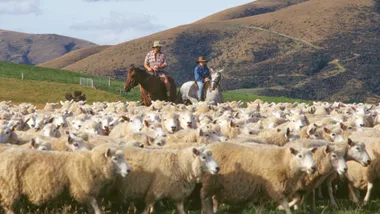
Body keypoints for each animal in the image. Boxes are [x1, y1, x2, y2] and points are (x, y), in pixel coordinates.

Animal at [0, 143, 130, 213]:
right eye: (115, 159)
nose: (129, 170)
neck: (90, 163)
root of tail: (3, 156)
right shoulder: (80, 189)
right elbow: (94, 204)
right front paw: (98, 212)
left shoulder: (71, 193)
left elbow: (87, 206)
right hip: (10, 188)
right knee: (8, 207)